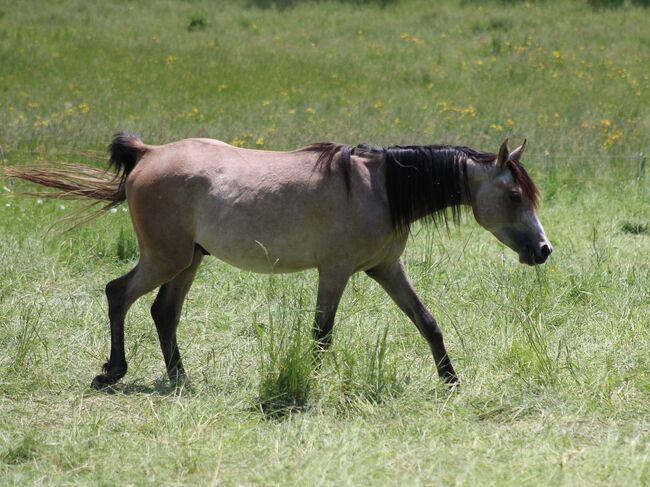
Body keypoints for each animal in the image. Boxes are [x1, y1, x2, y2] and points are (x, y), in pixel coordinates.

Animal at [7, 135, 548, 390]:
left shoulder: (386, 269)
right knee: (119, 293)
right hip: (165, 258)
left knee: (164, 312)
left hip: (188, 261)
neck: (380, 188)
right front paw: (310, 380)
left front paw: (451, 381)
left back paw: (181, 378)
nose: (544, 250)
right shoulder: (336, 272)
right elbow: (322, 333)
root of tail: (149, 153)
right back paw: (112, 372)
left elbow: (428, 322)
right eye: (515, 195)